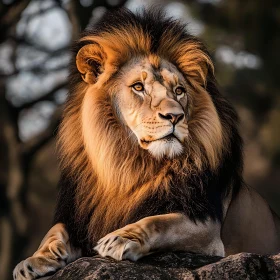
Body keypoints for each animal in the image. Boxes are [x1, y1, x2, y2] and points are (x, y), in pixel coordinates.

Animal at [13, 8, 280, 280]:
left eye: (179, 90)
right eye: (138, 87)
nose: (175, 116)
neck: (131, 165)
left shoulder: (207, 226)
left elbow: (161, 222)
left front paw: (120, 238)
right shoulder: (78, 215)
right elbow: (54, 230)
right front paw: (34, 260)